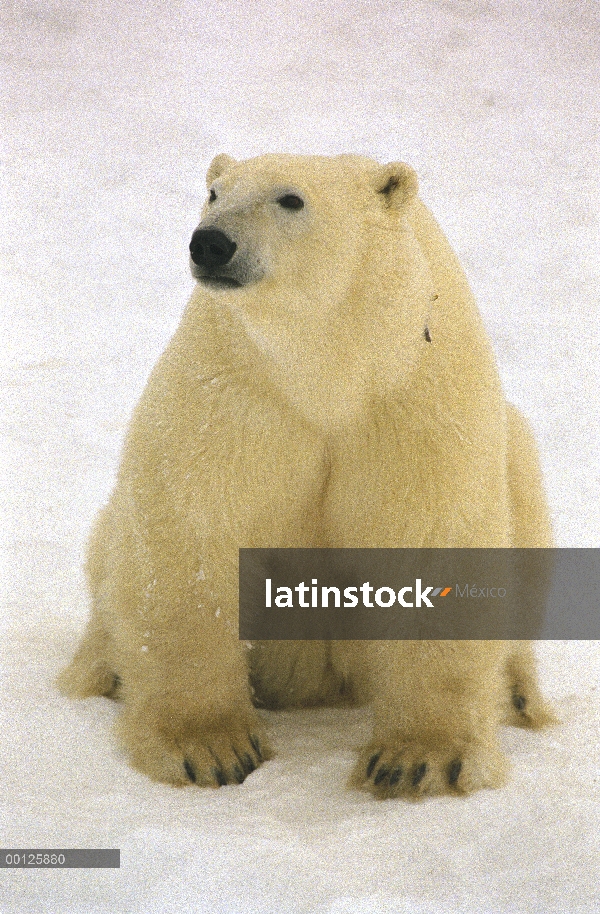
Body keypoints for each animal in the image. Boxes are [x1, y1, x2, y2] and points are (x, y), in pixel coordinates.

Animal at [58, 153, 556, 796]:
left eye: (291, 199)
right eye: (214, 193)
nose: (210, 243)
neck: (328, 369)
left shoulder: (413, 397)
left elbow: (432, 546)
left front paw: (417, 761)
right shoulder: (233, 396)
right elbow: (193, 539)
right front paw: (210, 749)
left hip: (514, 453)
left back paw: (518, 694)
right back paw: (102, 670)